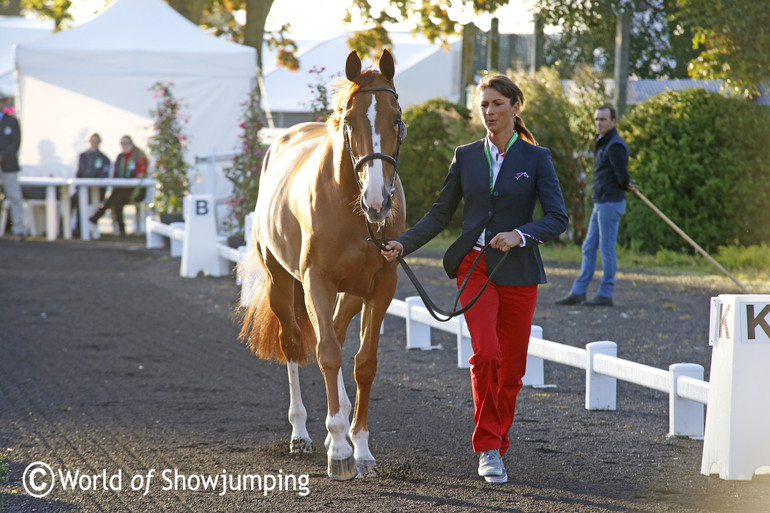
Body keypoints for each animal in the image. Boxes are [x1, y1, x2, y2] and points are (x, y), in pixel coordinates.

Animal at [240, 50, 408, 478]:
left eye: (395, 119)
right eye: (349, 121)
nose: (378, 202)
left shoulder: (381, 285)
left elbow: (364, 363)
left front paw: (360, 448)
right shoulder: (316, 280)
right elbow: (327, 354)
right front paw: (341, 453)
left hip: (349, 294)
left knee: (332, 333)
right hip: (282, 284)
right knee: (295, 344)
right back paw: (301, 434)